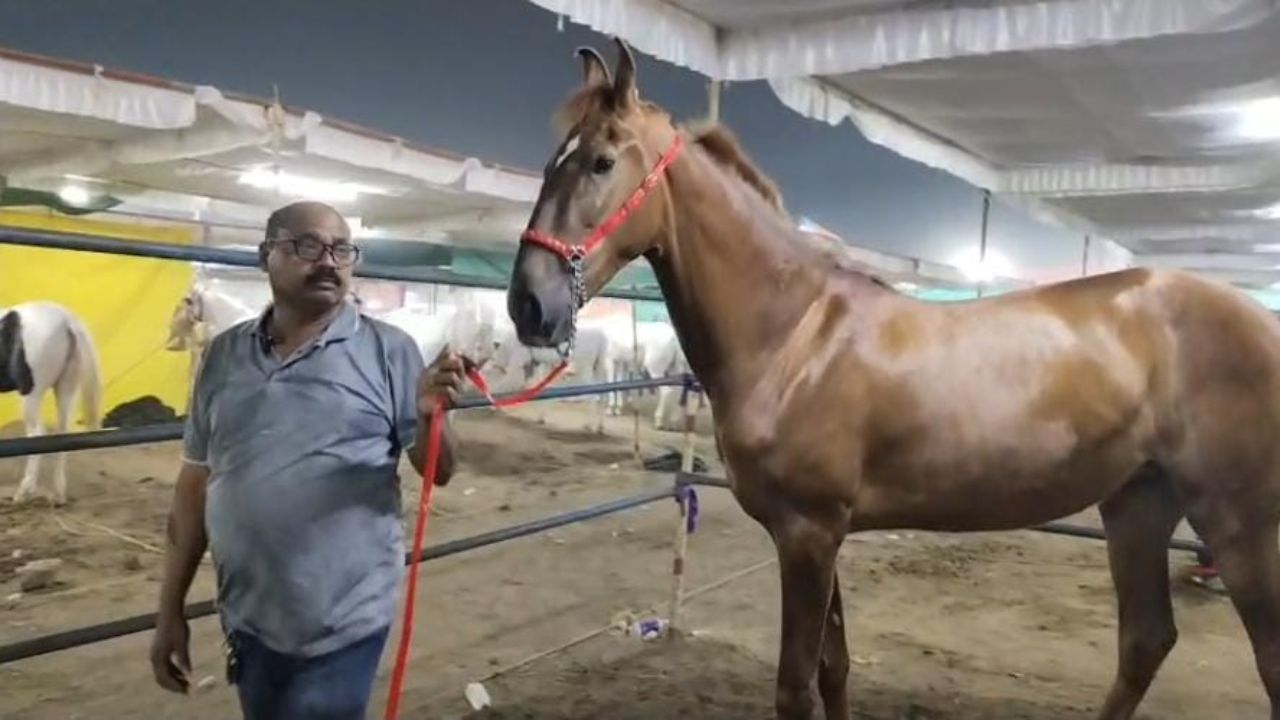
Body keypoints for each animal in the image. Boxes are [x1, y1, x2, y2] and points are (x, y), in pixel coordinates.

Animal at [1, 302, 102, 506]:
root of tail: (66, 320)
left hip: (32, 394)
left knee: (37, 433)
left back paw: (24, 492)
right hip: (66, 388)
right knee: (62, 434)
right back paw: (58, 495)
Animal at [505, 40, 1280, 720]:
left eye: (602, 161)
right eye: (552, 161)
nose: (529, 305)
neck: (793, 335)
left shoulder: (807, 534)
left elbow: (796, 687)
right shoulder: (824, 534)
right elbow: (835, 668)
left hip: (1238, 527)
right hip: (1139, 505)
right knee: (1146, 641)